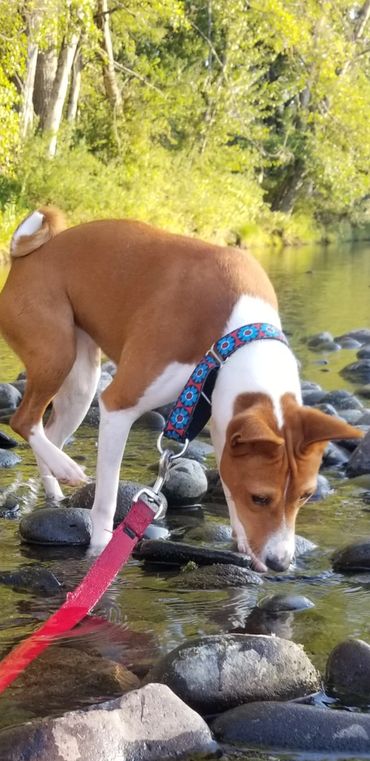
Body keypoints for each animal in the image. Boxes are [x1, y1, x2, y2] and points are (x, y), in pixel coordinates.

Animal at [0, 208, 362, 568]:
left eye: (305, 496)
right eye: (259, 497)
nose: (279, 563)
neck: (231, 338)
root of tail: (29, 254)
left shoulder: (222, 421)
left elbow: (228, 487)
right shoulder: (118, 405)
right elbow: (106, 499)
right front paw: (100, 550)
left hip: (81, 383)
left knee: (50, 432)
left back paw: (57, 488)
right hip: (57, 356)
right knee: (24, 421)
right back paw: (66, 468)